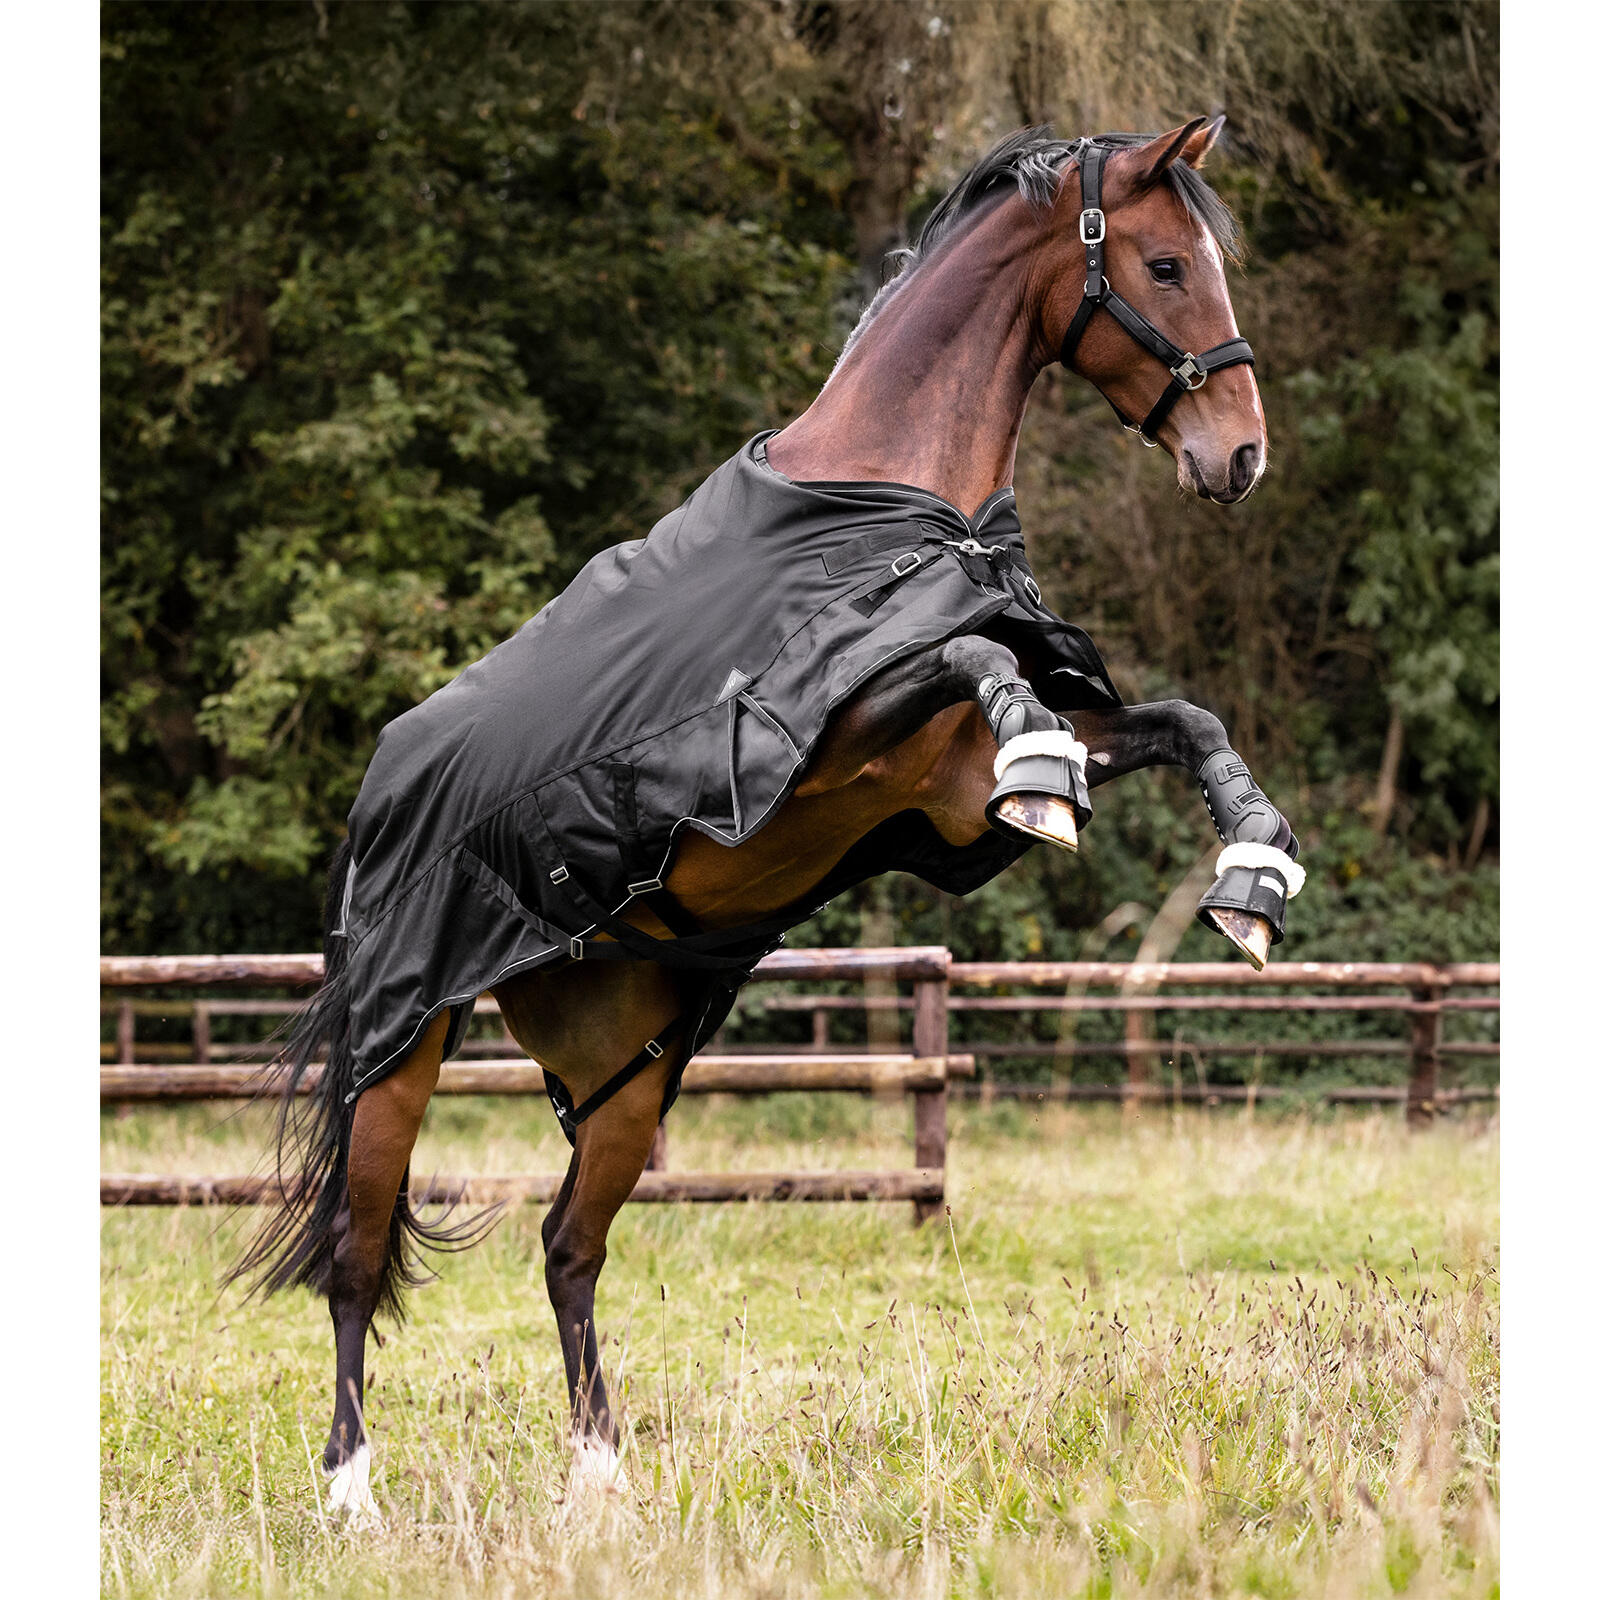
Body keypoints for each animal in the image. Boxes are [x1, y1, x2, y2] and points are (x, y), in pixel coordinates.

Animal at [231, 117, 1305, 1520]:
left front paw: (1251, 876)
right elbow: (974, 659)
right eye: (1168, 265)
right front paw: (1049, 775)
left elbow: (1184, 719)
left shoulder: (943, 793)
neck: (888, 510)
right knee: (358, 1253)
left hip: (629, 1073)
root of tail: (378, 793)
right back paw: (352, 1491)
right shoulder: (825, 734)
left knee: (567, 1247)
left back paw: (602, 1477)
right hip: (399, 1046)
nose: (1238, 456)